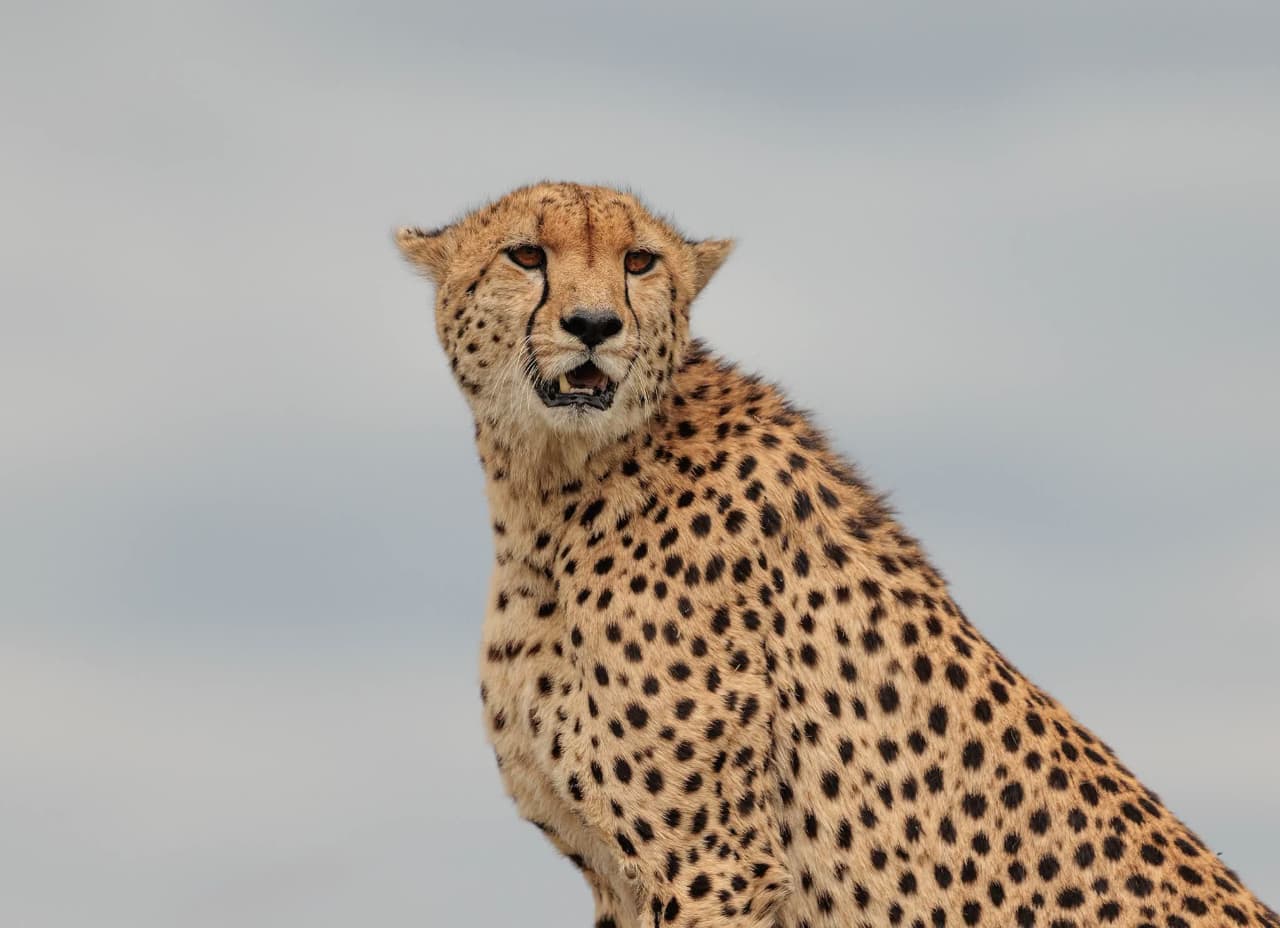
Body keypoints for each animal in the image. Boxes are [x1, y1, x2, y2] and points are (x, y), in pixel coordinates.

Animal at [395, 182, 1277, 928]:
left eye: (638, 262)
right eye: (526, 255)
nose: (593, 326)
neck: (552, 492)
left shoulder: (715, 867)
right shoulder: (628, 877)